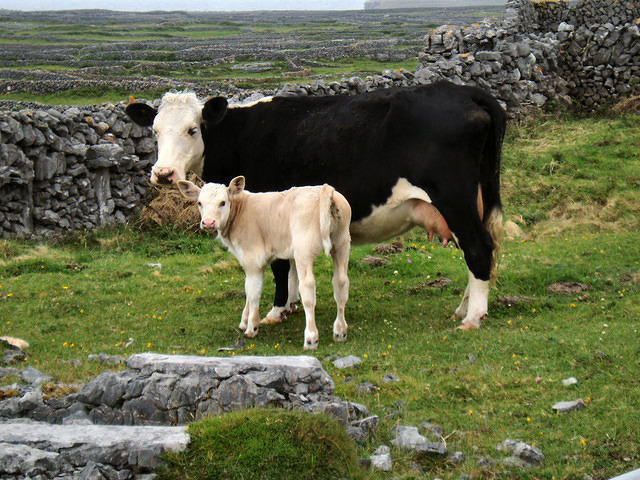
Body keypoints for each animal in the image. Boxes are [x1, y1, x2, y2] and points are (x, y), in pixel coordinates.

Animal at [125, 82, 504, 330]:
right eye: (155, 130)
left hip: (455, 199)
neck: (240, 134)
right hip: (475, 202)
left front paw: (276, 310)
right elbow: (291, 261)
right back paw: (463, 309)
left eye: (193, 129)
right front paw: (292, 304)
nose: (163, 173)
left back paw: (473, 318)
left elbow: (280, 266)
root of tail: (462, 90)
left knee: (479, 248)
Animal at [178, 176, 352, 348]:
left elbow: (253, 291)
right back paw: (340, 331)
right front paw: (244, 321)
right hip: (342, 243)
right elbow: (248, 289)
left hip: (304, 250)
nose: (208, 223)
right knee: (341, 282)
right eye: (200, 203)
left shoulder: (253, 259)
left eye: (223, 202)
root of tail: (325, 190)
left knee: (308, 288)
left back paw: (311, 338)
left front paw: (251, 327)